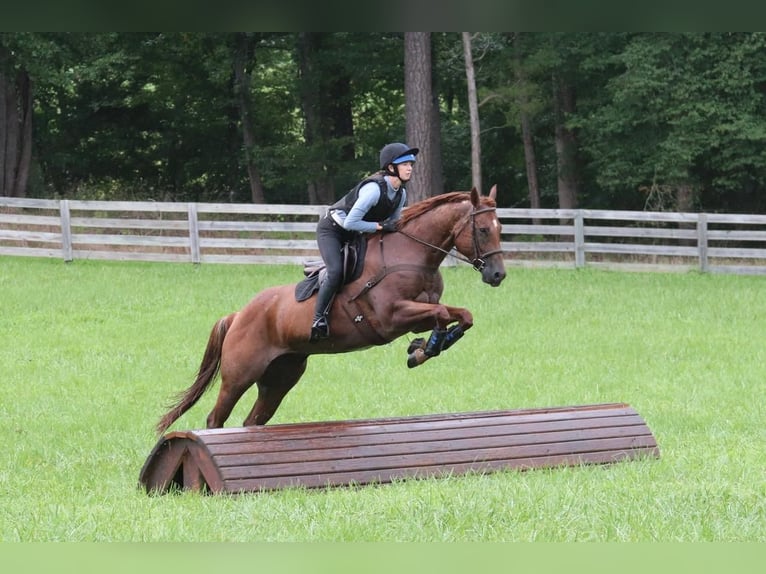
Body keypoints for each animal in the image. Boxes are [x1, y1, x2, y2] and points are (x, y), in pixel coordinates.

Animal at [154, 186, 510, 436]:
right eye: (482, 230)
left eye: (500, 228)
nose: (497, 275)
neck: (411, 255)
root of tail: (237, 315)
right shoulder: (392, 317)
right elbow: (446, 314)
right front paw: (423, 350)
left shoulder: (419, 313)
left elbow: (458, 316)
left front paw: (422, 349)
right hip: (239, 375)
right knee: (216, 417)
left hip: (281, 377)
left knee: (253, 419)